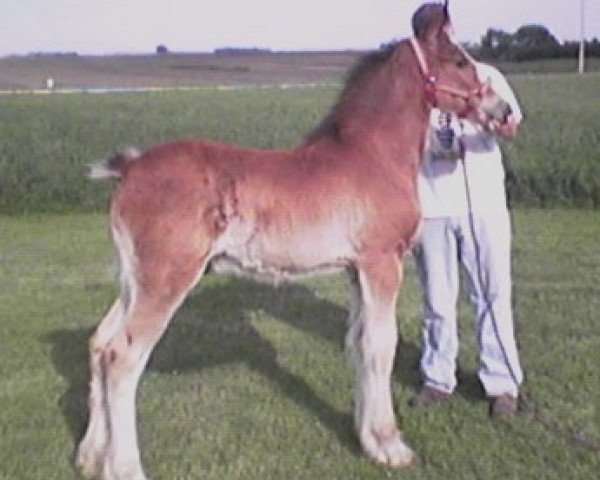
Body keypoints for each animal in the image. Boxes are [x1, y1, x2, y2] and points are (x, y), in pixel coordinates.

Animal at [78, 4, 510, 480]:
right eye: (459, 61)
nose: (503, 108)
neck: (372, 155)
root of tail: (131, 168)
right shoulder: (382, 263)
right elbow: (383, 346)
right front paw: (392, 446)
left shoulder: (356, 271)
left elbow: (359, 343)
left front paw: (368, 441)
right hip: (165, 281)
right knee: (122, 358)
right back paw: (124, 466)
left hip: (133, 282)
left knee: (99, 343)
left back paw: (90, 456)